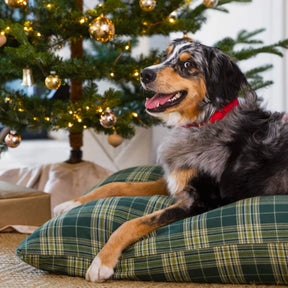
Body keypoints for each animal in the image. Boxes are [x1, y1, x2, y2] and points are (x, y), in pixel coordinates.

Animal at [53, 37, 288, 282]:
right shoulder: (174, 181)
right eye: (164, 56)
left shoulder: (204, 200)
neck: (205, 122)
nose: (144, 74)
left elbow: (133, 223)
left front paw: (101, 262)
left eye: (188, 65)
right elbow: (115, 185)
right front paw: (72, 203)